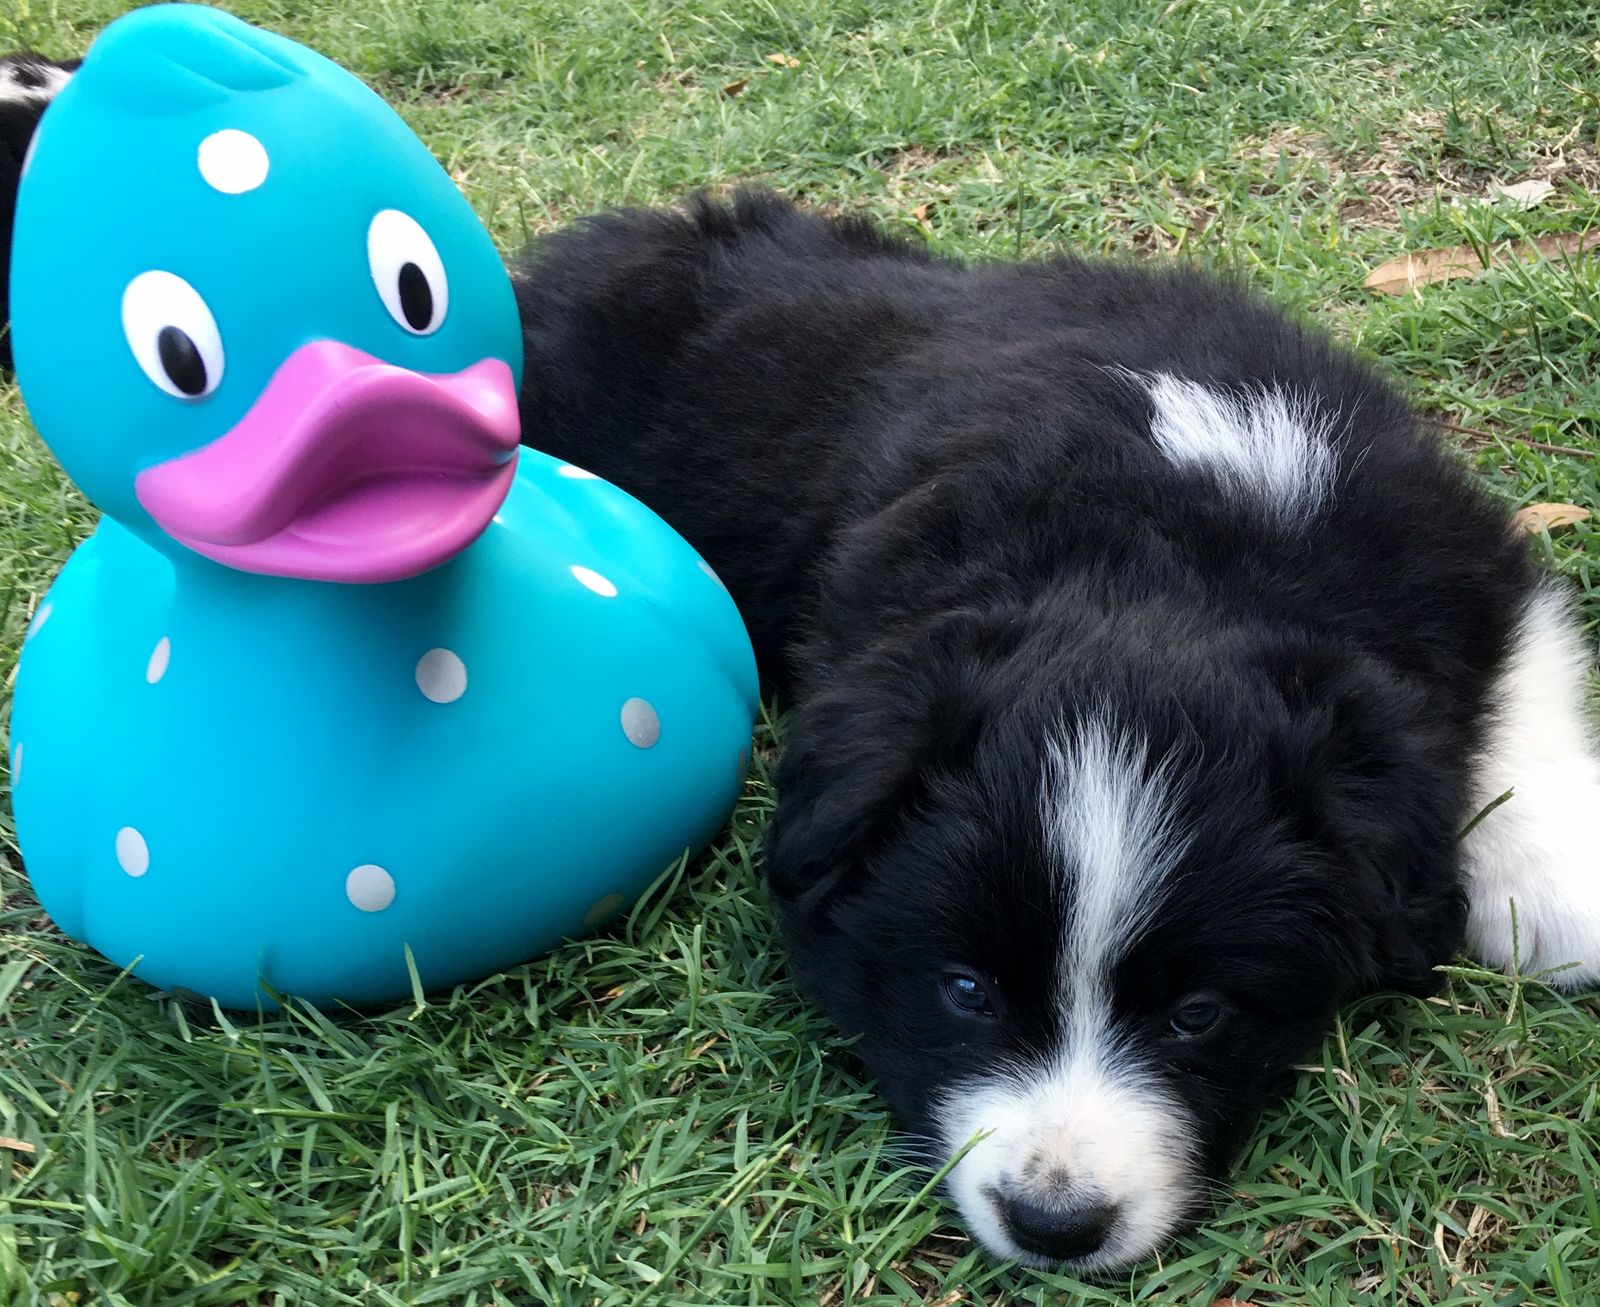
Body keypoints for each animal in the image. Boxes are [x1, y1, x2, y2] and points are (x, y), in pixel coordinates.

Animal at [5, 54, 1599, 1272]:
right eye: (963, 990)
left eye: (1201, 1012)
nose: (1055, 1219)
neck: (1168, 536)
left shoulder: (1446, 541)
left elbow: (1522, 680)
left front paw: (1551, 877)